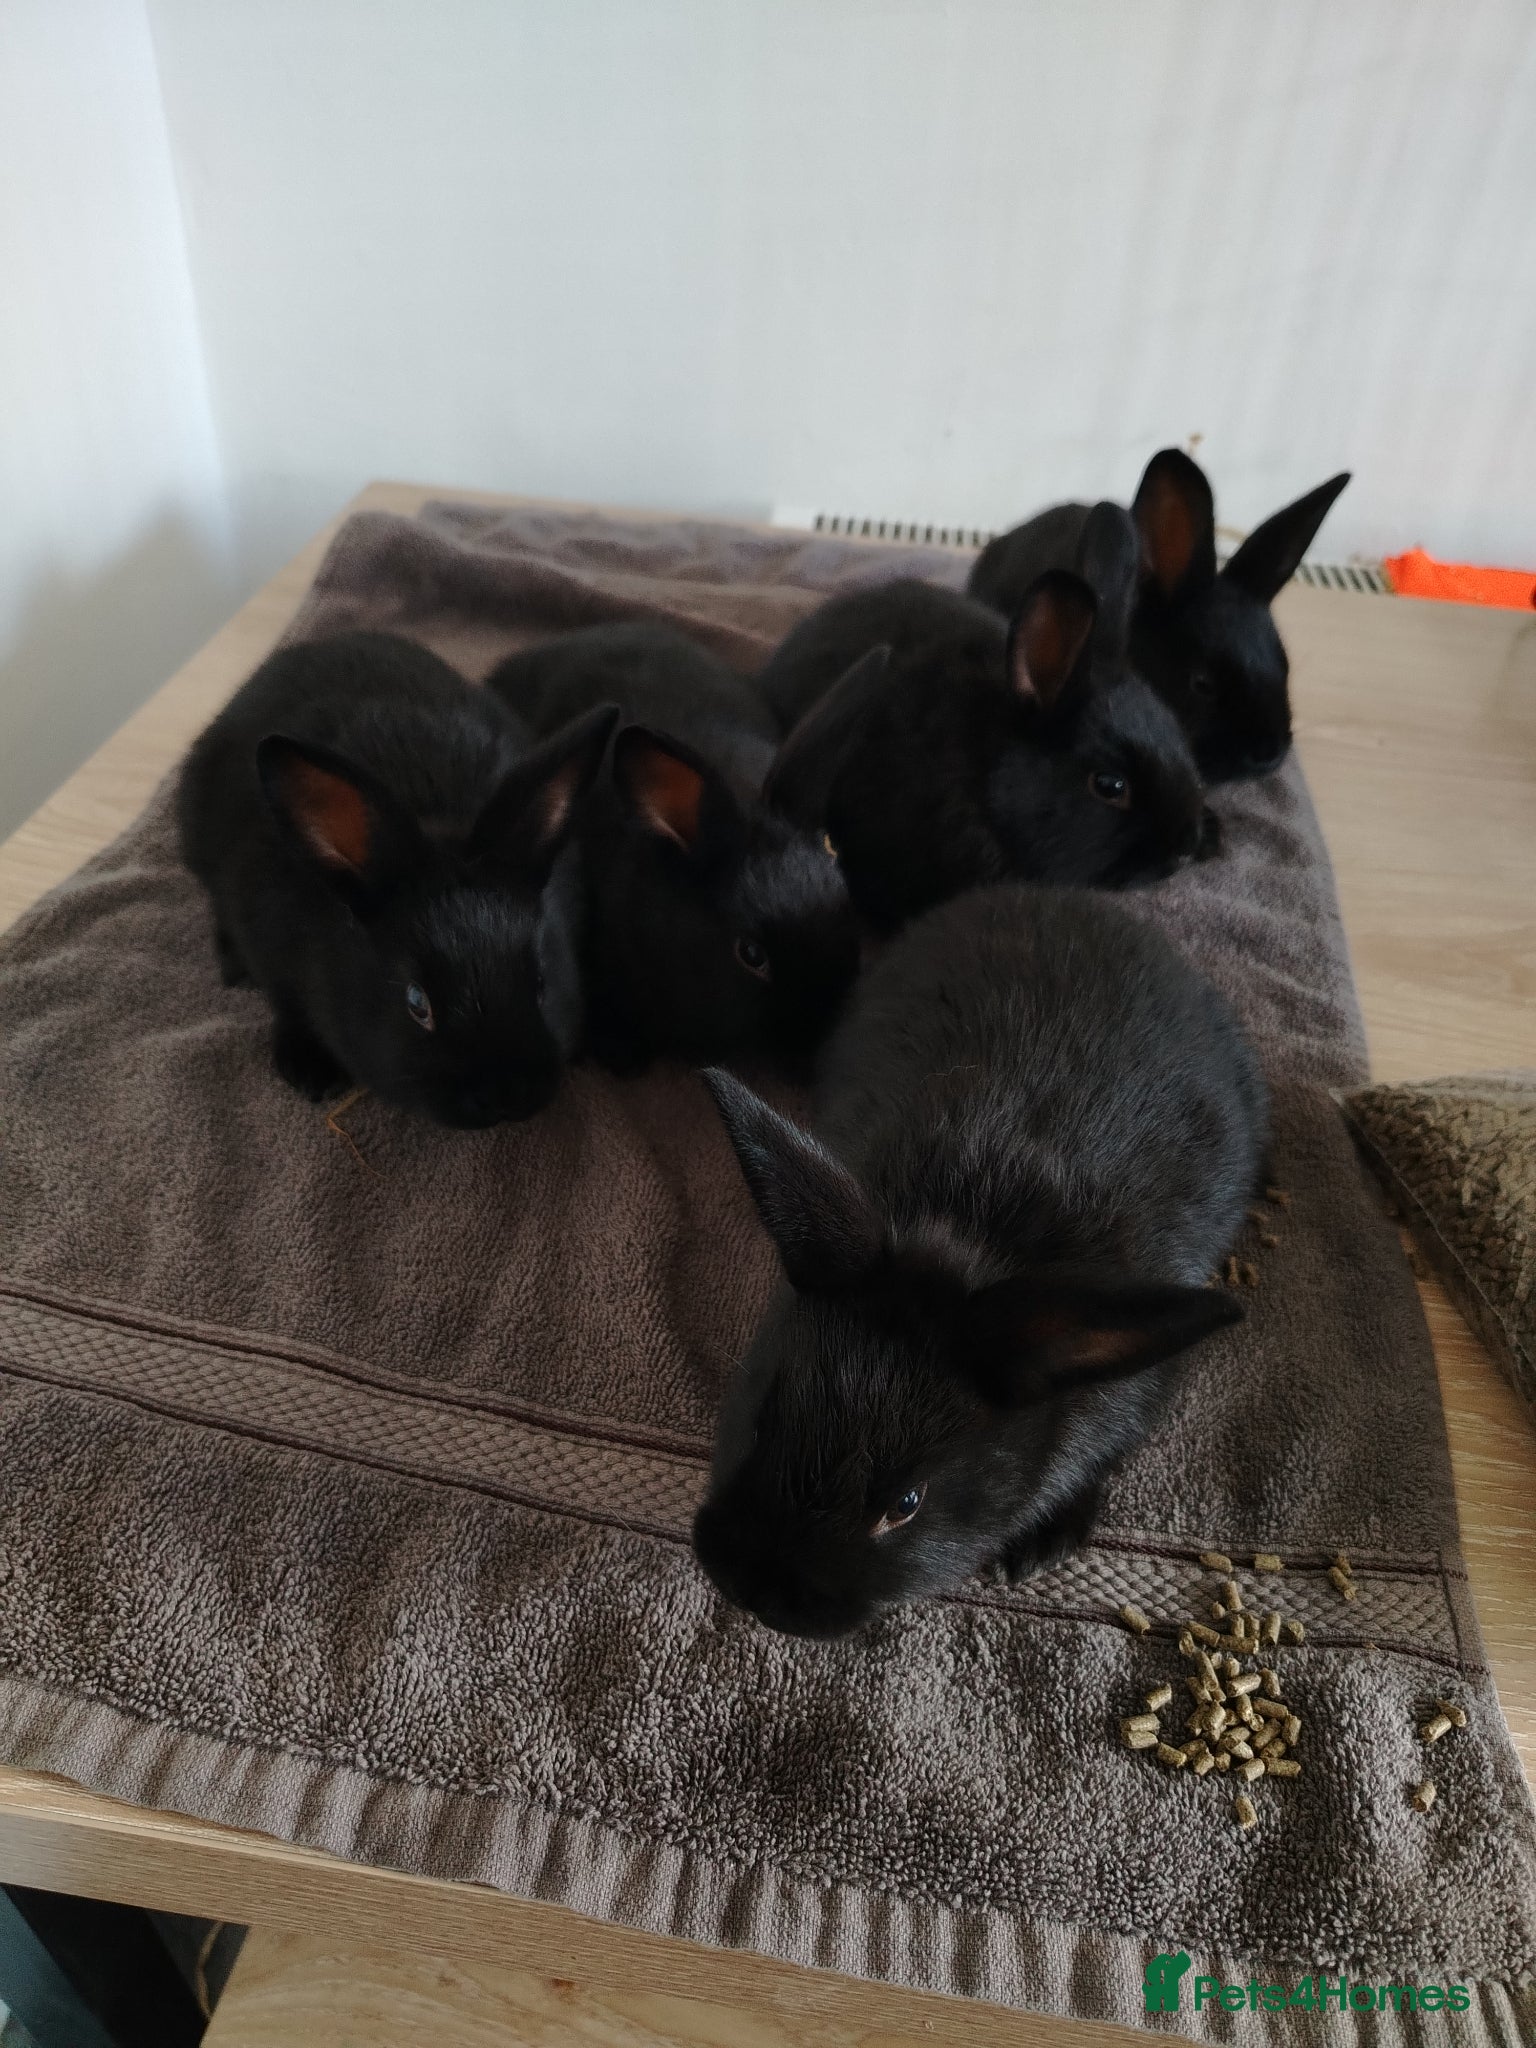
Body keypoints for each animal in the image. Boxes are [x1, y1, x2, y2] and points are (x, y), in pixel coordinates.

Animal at [692, 881, 1268, 1639]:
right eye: (761, 1417)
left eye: (906, 1504)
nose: (753, 1590)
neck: (972, 1232)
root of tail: (1063, 896)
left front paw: (1041, 1550)